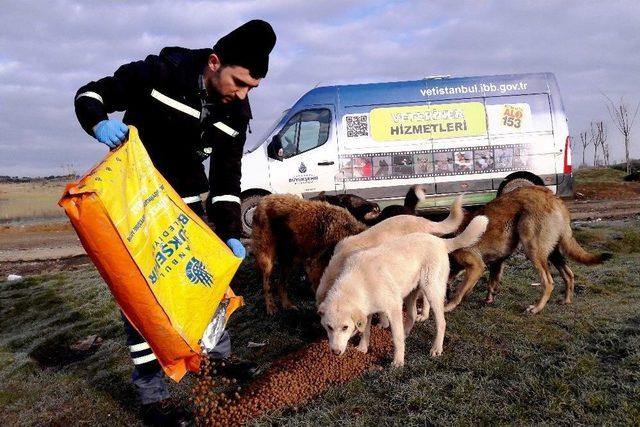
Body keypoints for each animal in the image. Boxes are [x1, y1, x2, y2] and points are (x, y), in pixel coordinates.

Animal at [318, 216, 488, 370]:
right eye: (329, 327)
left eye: (345, 327)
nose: (335, 352)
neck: (359, 281)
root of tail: (440, 242)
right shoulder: (367, 311)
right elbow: (365, 331)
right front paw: (362, 349)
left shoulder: (393, 308)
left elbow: (396, 338)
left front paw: (398, 361)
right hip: (410, 293)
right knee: (412, 315)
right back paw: (408, 332)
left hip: (431, 291)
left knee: (441, 323)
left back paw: (436, 348)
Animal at [442, 186, 612, 314]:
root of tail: (554, 198)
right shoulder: (497, 261)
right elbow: (491, 282)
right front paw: (489, 299)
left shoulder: (476, 266)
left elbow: (460, 291)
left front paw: (449, 306)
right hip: (552, 253)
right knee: (569, 275)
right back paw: (566, 300)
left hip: (532, 249)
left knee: (548, 282)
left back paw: (536, 308)